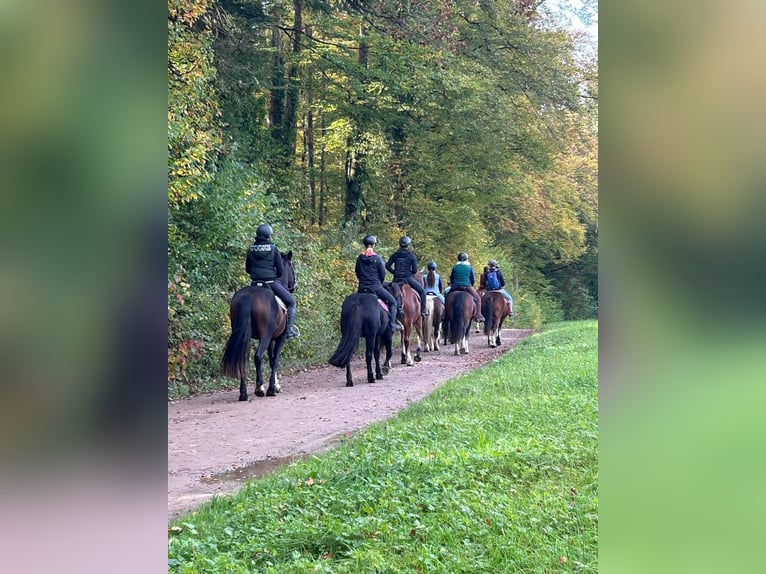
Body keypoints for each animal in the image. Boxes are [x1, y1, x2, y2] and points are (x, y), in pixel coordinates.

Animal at [222, 250, 296, 402]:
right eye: (292, 267)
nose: (294, 287)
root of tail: (248, 296)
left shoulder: (271, 339)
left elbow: (271, 360)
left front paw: (276, 385)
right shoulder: (279, 338)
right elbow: (275, 360)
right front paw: (273, 388)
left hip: (245, 335)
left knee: (243, 360)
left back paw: (243, 394)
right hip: (265, 335)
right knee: (258, 356)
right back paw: (260, 388)